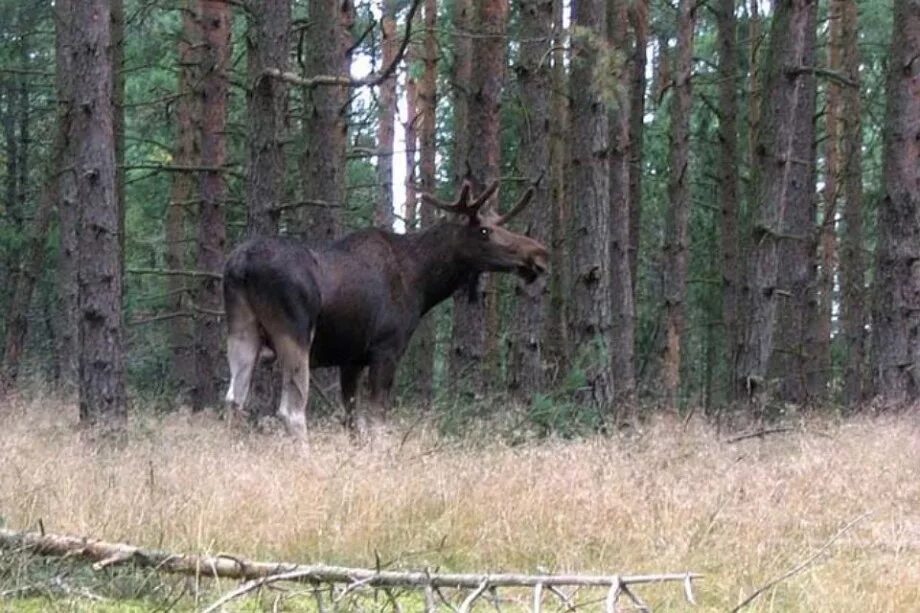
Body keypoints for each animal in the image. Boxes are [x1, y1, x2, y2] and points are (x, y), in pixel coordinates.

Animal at [221, 182, 552, 436]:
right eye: (484, 231)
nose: (539, 254)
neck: (423, 283)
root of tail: (241, 264)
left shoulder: (352, 359)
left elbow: (352, 421)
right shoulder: (386, 349)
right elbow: (378, 421)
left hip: (242, 331)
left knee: (234, 400)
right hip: (295, 334)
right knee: (290, 410)